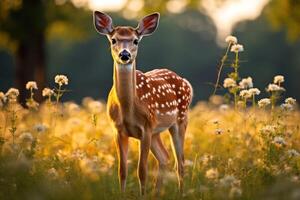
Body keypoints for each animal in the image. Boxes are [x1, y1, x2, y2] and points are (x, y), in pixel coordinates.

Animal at [92, 10, 193, 195]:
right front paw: (123, 195)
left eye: (135, 40)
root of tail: (184, 81)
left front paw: (143, 195)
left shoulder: (145, 128)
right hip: (156, 131)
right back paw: (157, 194)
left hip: (180, 120)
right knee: (165, 157)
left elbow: (142, 171)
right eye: (113, 40)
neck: (128, 110)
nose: (125, 55)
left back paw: (180, 193)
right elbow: (122, 171)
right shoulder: (118, 130)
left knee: (180, 162)